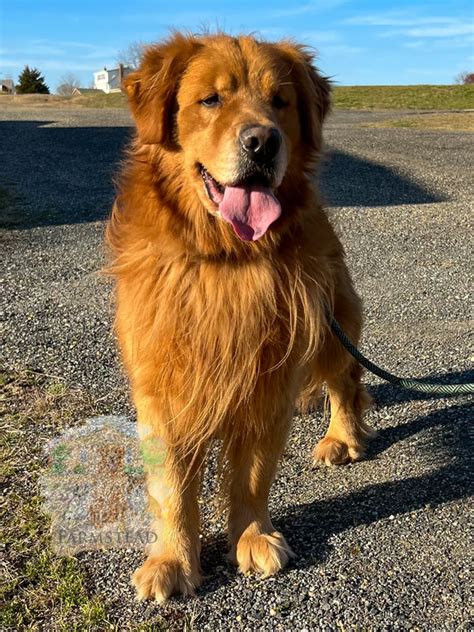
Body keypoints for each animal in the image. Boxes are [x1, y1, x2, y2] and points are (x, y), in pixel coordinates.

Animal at [105, 33, 372, 604]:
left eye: (280, 102)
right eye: (211, 100)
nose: (262, 143)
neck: (227, 260)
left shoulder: (266, 380)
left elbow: (251, 475)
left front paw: (252, 537)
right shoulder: (163, 385)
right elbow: (171, 487)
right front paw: (171, 560)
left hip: (331, 328)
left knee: (346, 384)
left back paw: (341, 438)